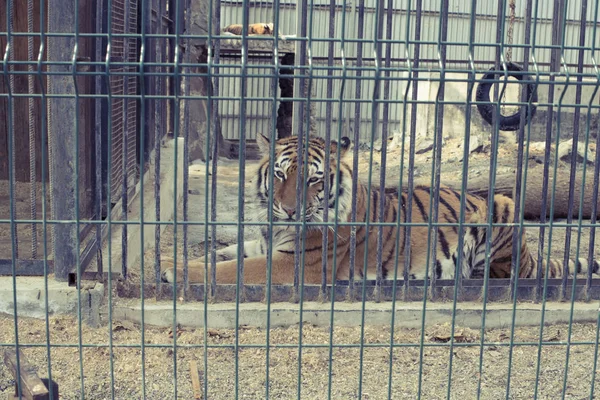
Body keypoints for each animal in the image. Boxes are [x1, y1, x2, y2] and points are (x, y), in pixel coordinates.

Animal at [161, 134, 600, 284]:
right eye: (282, 174)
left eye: (313, 181)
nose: (287, 212)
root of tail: (531, 257)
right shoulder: (272, 243)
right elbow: (235, 251)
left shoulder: (296, 265)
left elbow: (230, 270)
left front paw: (172, 269)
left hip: (503, 207)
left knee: (499, 275)